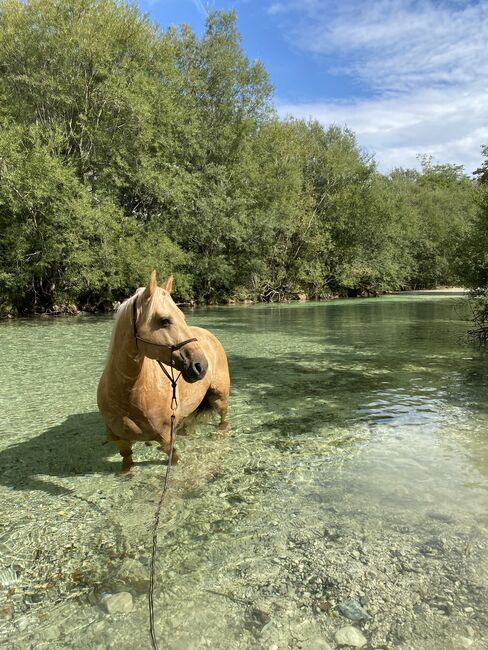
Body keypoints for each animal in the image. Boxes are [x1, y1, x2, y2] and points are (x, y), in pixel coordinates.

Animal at [98, 270, 231, 470]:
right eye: (164, 320)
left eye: (182, 316)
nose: (201, 365)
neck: (130, 395)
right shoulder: (120, 441)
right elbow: (127, 461)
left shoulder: (167, 441)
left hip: (219, 398)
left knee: (223, 417)